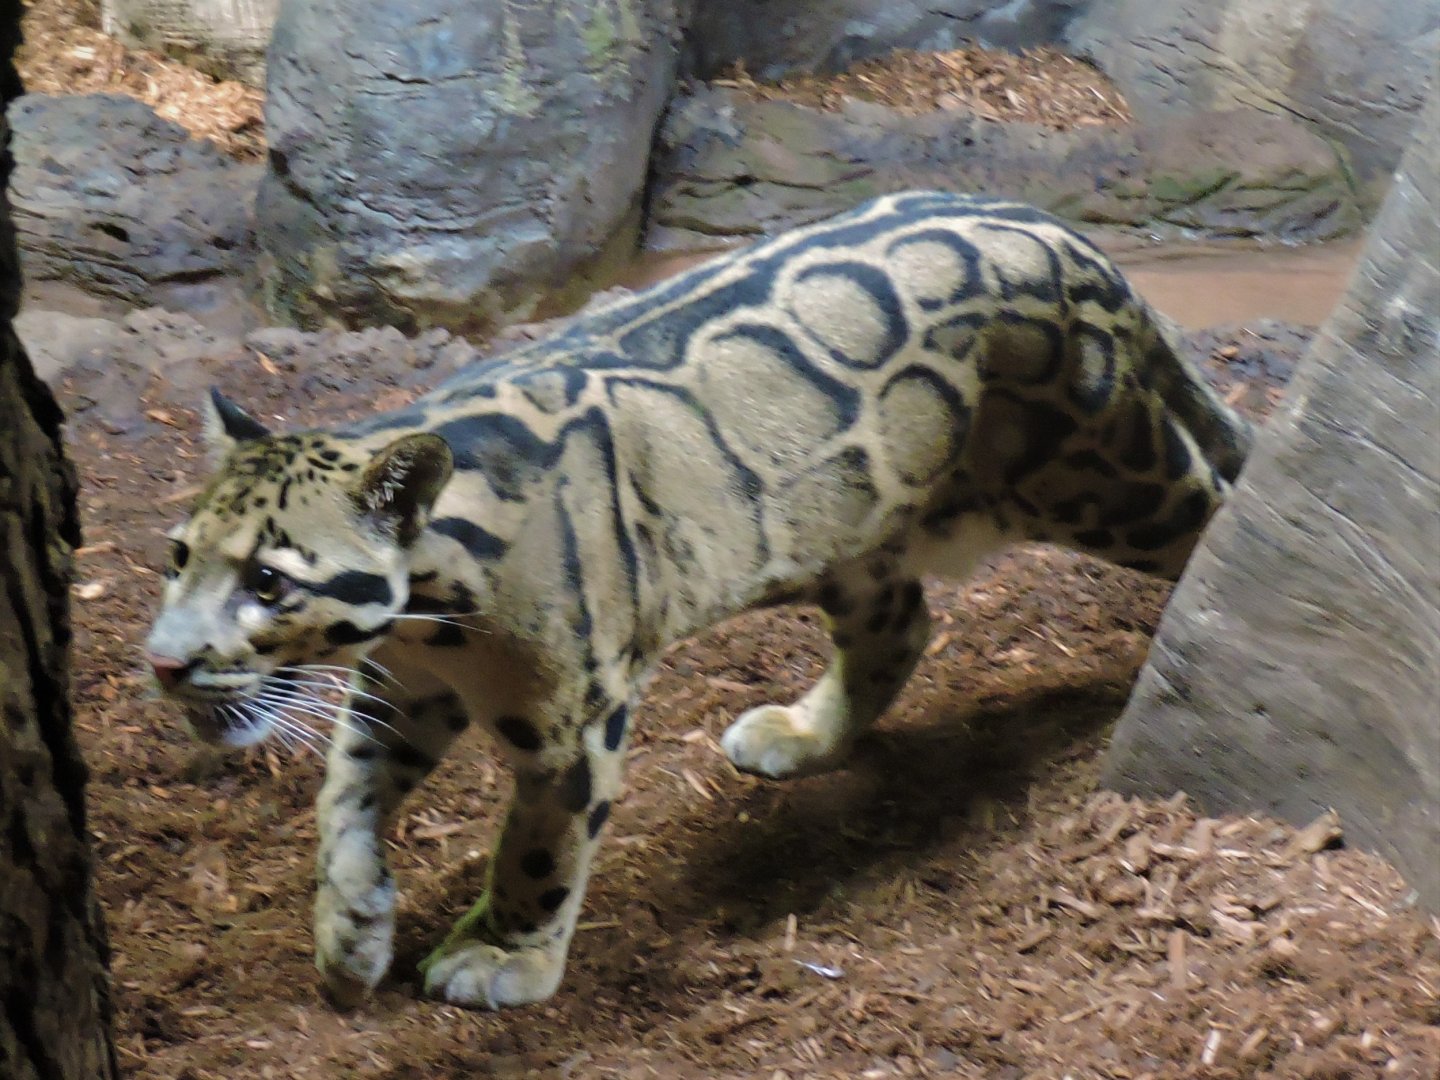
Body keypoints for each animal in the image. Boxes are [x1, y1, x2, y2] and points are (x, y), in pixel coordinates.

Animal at [145, 191, 1251, 1010]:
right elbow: (343, 804)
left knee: (1218, 509)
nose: (162, 661)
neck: (431, 619)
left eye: (267, 582)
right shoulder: (400, 691)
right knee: (900, 627)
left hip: (1107, 479)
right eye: (178, 556)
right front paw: (350, 932)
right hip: (847, 531)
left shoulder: (570, 718)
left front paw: (503, 956)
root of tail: (1063, 232)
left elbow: (539, 848)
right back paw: (803, 734)